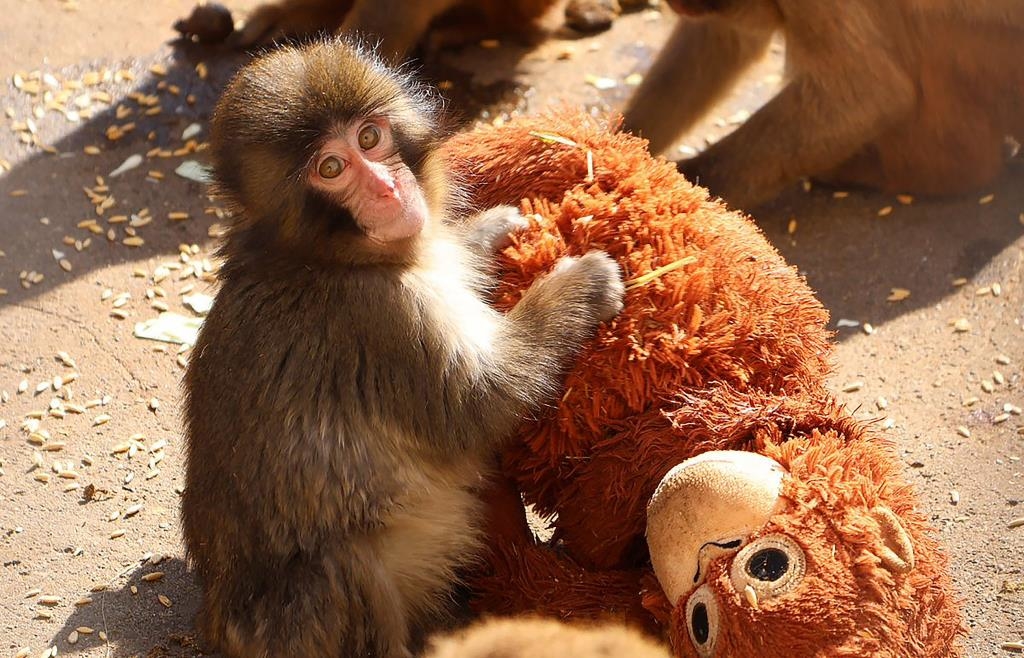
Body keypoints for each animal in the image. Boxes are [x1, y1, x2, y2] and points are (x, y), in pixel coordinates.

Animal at [180, 38, 624, 658]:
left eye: (370, 138)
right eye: (332, 168)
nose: (388, 189)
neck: (326, 257)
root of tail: (215, 624)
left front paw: (488, 230)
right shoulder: (381, 318)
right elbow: (478, 405)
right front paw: (578, 285)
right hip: (295, 626)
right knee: (342, 565)